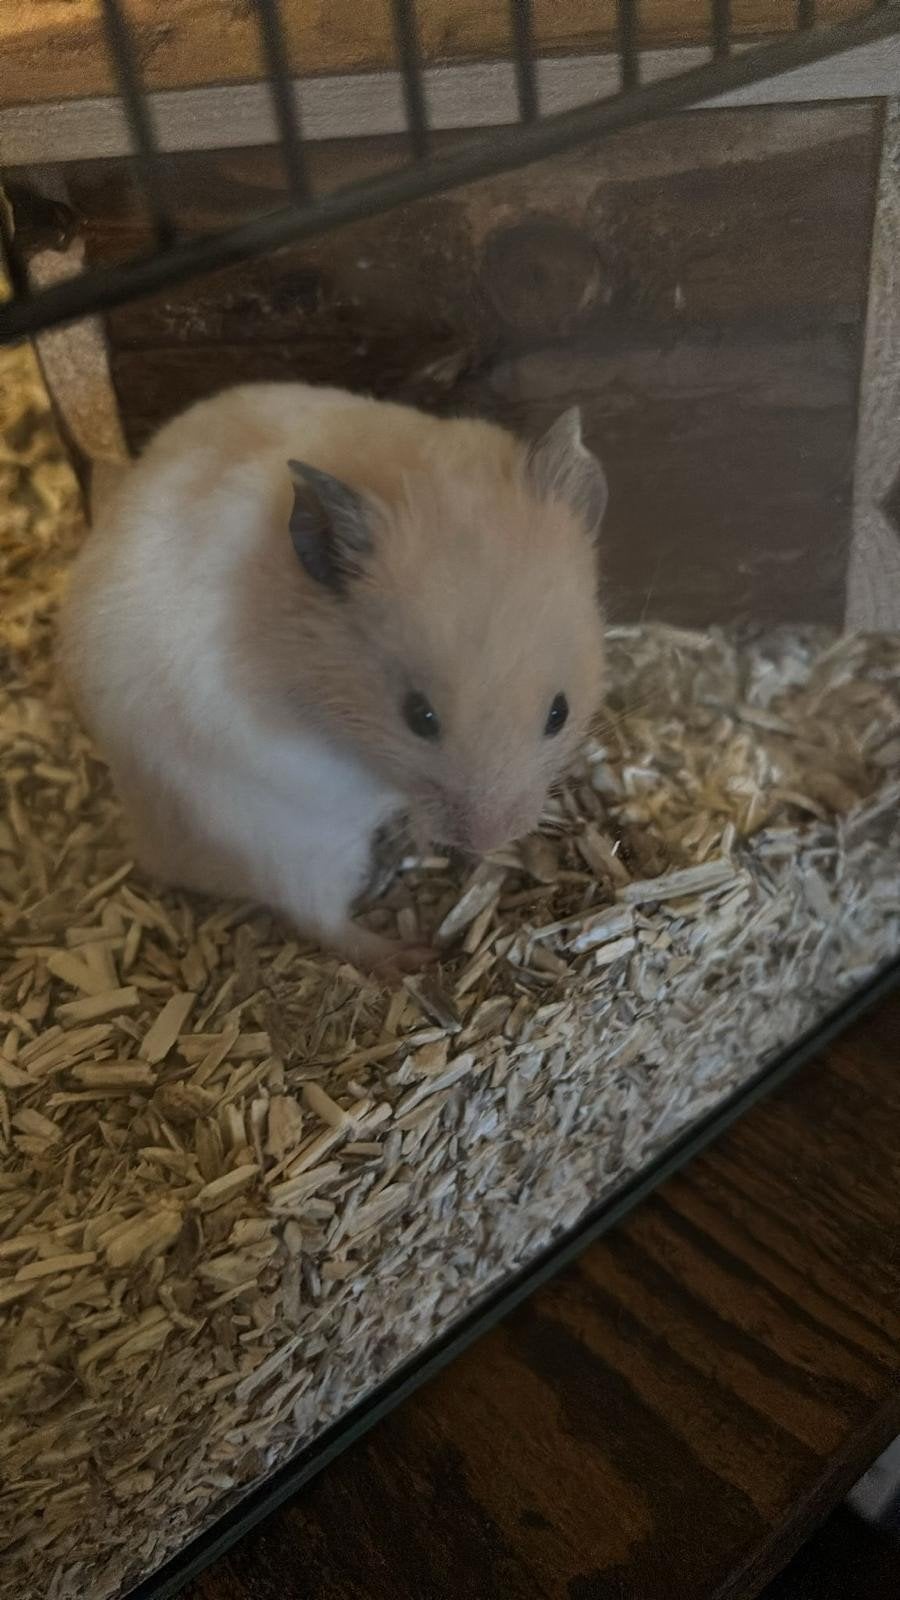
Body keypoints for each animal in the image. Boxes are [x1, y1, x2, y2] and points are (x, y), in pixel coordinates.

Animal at [60, 382, 607, 972]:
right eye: (419, 717)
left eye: (559, 713)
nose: (488, 841)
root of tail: (153, 851)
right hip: (277, 842)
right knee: (322, 919)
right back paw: (412, 955)